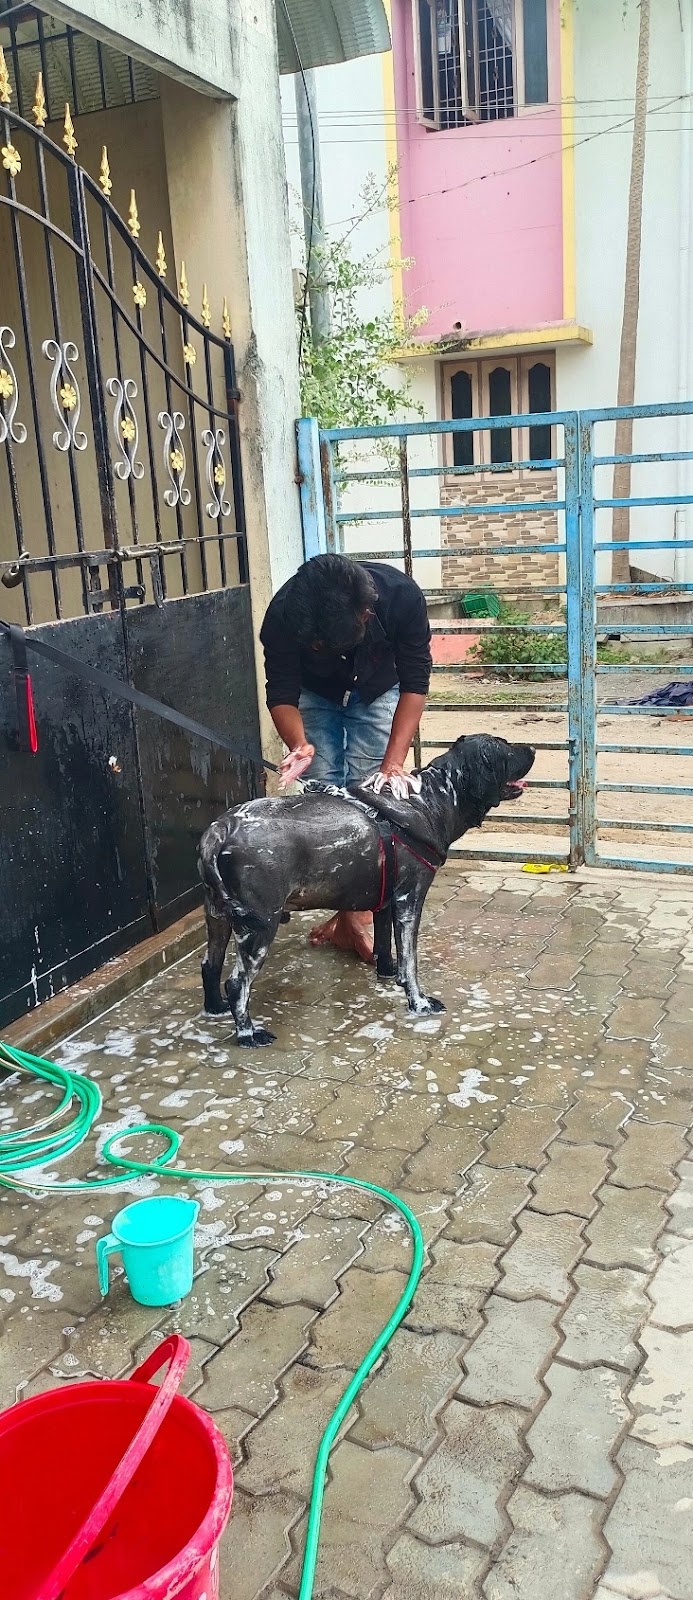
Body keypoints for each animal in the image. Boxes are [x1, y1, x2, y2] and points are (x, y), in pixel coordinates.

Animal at [198, 733, 535, 1047]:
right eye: (503, 747)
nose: (532, 748)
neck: (431, 799)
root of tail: (220, 829)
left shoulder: (386, 903)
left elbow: (386, 948)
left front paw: (388, 972)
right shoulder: (410, 901)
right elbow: (411, 962)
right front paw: (418, 1002)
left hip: (218, 917)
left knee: (209, 965)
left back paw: (215, 1008)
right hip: (259, 928)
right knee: (236, 984)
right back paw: (247, 1033)